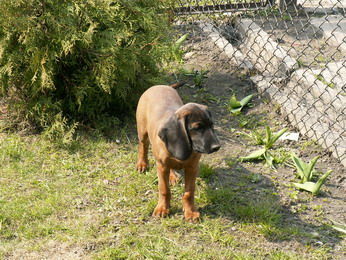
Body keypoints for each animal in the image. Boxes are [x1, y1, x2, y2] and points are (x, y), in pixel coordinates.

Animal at [135, 84, 219, 220]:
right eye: (197, 128)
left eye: (212, 125)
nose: (217, 147)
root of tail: (159, 85)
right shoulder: (161, 166)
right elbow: (164, 189)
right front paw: (162, 208)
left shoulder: (192, 167)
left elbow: (189, 192)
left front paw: (190, 211)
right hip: (142, 130)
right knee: (143, 146)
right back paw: (142, 164)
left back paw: (173, 176)